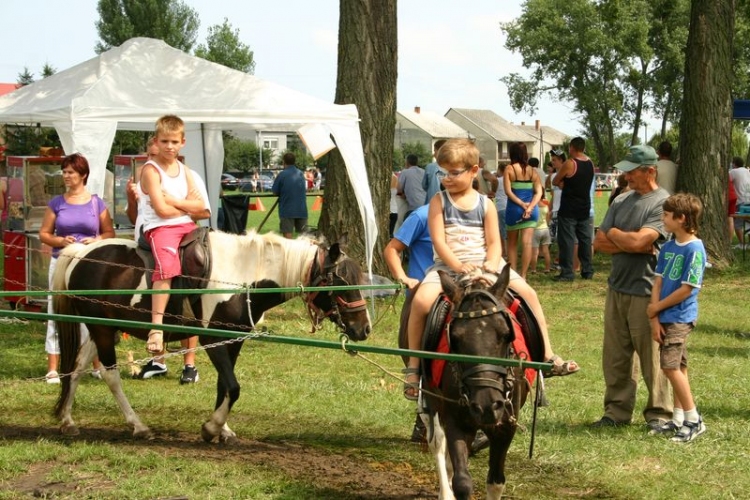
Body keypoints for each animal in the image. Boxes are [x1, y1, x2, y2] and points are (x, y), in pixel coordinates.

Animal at [50, 230, 374, 442]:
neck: (242, 276)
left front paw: (222, 429)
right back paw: (138, 425)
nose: (364, 328)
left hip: (100, 328)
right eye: (341, 281)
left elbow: (224, 385)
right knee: (111, 376)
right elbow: (233, 386)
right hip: (103, 330)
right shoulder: (211, 339)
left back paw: (67, 420)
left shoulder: (233, 339)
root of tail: (80, 253)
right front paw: (212, 428)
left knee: (76, 368)